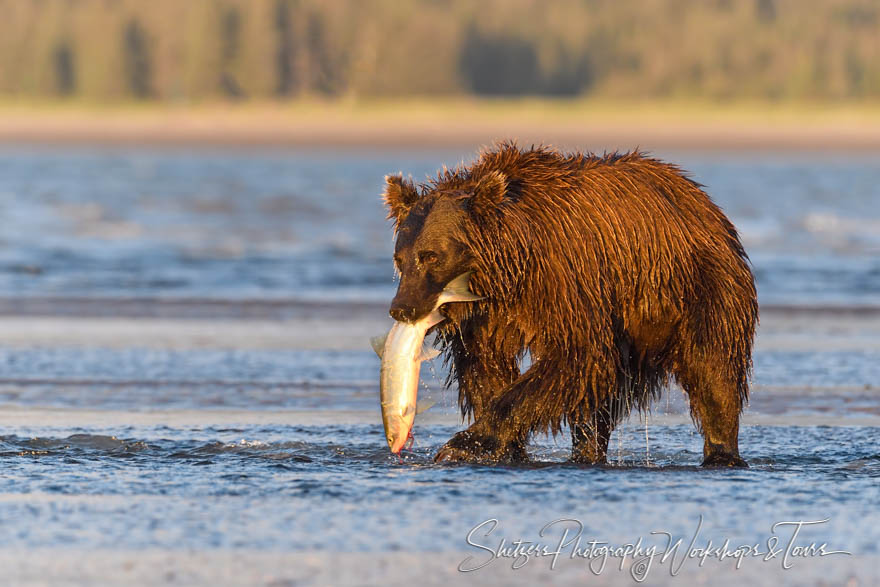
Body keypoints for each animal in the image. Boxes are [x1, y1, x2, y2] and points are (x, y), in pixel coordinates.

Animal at [384, 142, 756, 468]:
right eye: (400, 258)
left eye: (431, 256)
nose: (403, 308)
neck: (508, 271)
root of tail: (704, 203)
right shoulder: (487, 318)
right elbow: (486, 367)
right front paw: (505, 447)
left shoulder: (566, 283)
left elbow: (577, 357)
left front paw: (464, 444)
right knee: (599, 401)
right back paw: (588, 451)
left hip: (695, 287)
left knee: (713, 370)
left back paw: (721, 452)